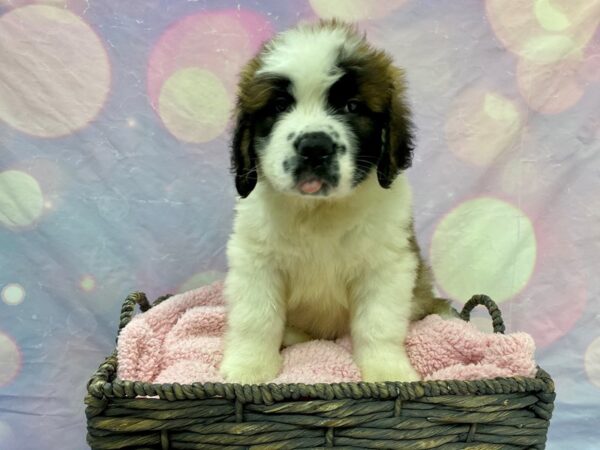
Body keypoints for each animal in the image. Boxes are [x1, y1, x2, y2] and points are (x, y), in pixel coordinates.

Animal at [220, 18, 450, 384]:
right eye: (279, 106)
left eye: (351, 107)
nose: (315, 147)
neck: (319, 211)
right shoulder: (255, 260)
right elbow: (256, 319)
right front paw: (249, 368)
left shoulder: (387, 265)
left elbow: (378, 324)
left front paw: (387, 371)